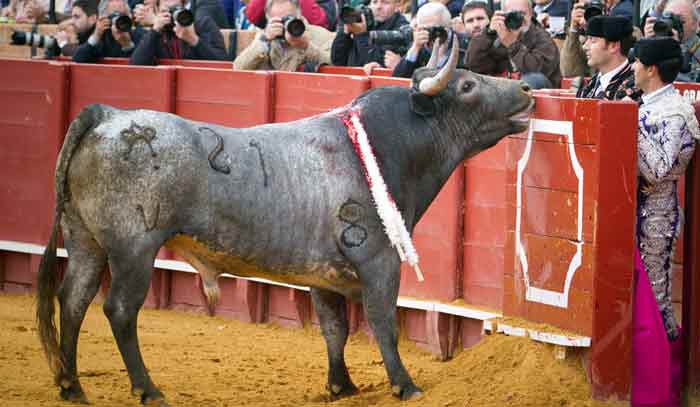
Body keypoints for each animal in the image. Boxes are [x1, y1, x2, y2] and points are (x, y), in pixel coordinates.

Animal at [37, 36, 532, 406]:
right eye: (466, 85)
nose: (526, 90)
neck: (381, 145)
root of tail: (108, 116)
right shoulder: (379, 262)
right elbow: (382, 322)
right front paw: (405, 385)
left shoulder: (325, 274)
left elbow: (335, 328)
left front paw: (341, 386)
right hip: (134, 248)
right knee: (119, 309)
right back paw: (147, 389)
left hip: (84, 239)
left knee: (73, 300)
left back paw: (71, 386)